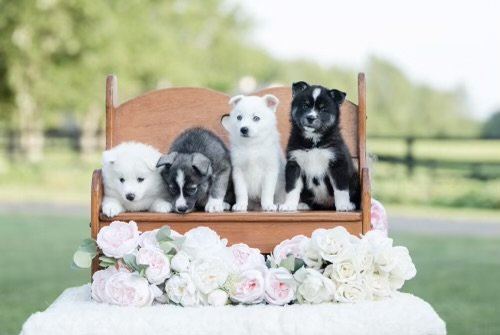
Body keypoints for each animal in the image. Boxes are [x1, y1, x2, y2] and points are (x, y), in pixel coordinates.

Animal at [282, 82, 360, 213]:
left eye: (323, 109)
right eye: (305, 106)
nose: (310, 118)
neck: (313, 142)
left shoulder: (337, 163)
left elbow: (341, 188)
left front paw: (343, 205)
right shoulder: (294, 163)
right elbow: (292, 187)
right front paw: (288, 205)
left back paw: (351, 204)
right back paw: (304, 205)